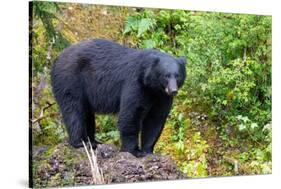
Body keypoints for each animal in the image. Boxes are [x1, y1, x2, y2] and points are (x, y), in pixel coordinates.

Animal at [50, 39, 186, 157]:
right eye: (166, 76)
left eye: (177, 76)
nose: (173, 90)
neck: (151, 86)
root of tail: (58, 58)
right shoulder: (135, 83)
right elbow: (130, 114)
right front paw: (134, 151)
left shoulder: (161, 96)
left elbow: (155, 119)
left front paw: (148, 151)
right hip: (70, 80)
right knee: (74, 110)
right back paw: (80, 142)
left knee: (87, 114)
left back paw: (94, 141)